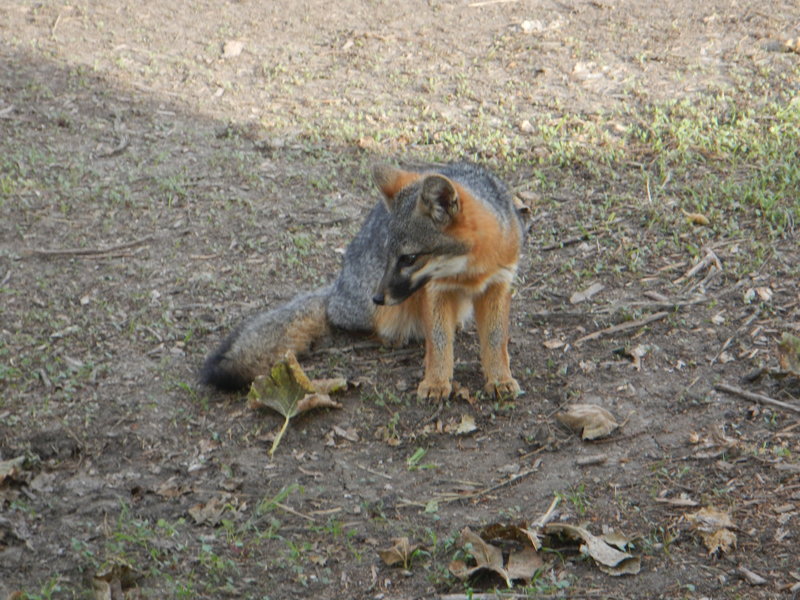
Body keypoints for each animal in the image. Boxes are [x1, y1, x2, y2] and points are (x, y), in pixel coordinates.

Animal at [203, 162, 520, 400]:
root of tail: (337, 288)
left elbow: (495, 339)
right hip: (381, 312)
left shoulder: (499, 284)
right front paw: (436, 383)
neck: (470, 272)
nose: (378, 298)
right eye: (389, 253)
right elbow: (440, 343)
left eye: (409, 258)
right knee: (346, 320)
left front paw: (499, 379)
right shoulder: (435, 290)